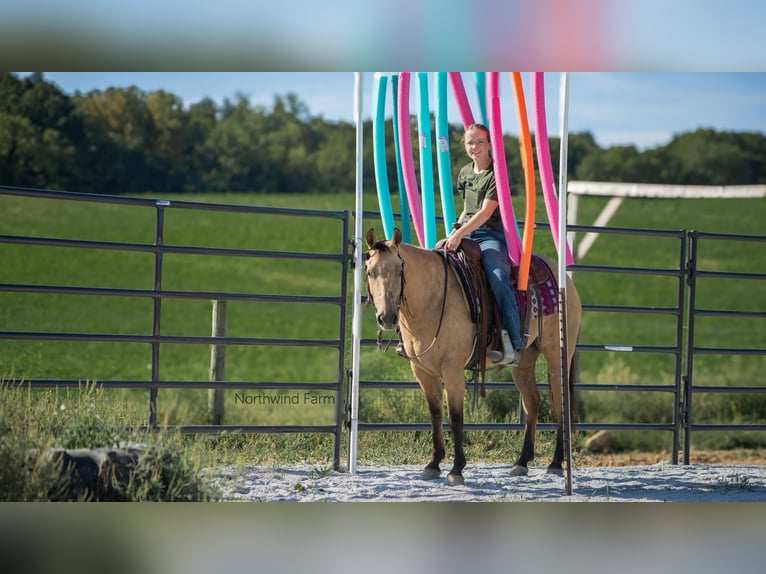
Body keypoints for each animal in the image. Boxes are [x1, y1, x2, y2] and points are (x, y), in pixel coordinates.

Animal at [366, 228, 584, 486]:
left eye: (400, 269)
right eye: (369, 271)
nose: (387, 318)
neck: (433, 298)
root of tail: (566, 282)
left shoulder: (452, 369)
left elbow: (455, 416)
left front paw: (456, 469)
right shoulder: (423, 371)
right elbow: (435, 414)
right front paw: (433, 464)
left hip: (556, 355)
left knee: (560, 402)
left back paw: (555, 463)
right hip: (524, 362)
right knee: (532, 401)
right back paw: (522, 462)